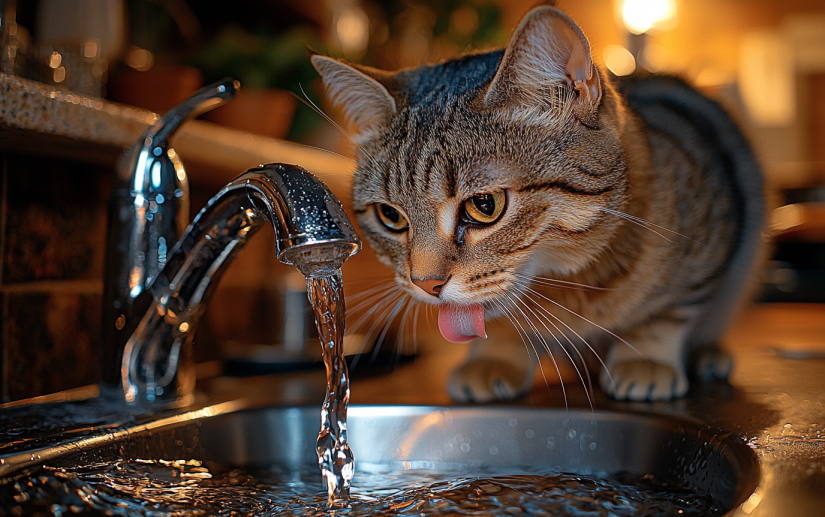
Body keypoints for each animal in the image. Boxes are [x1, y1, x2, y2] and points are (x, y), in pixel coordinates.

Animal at [310, 2, 768, 402]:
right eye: (390, 216)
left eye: (485, 206)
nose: (426, 284)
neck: (570, 288)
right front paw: (494, 356)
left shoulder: (710, 240)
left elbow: (666, 314)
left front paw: (645, 357)